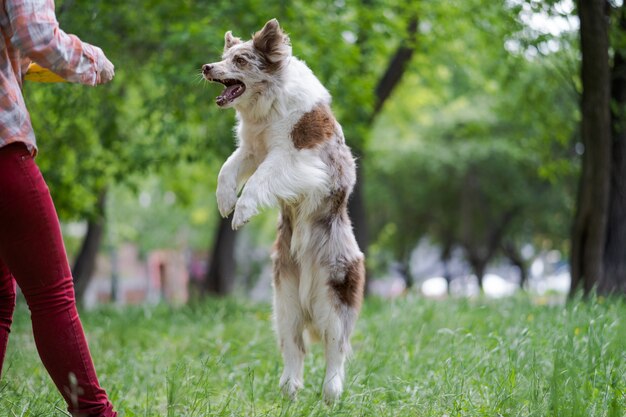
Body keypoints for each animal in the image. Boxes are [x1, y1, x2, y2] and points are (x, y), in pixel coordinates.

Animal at [202, 17, 364, 402]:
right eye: (223, 57)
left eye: (240, 60)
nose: (206, 67)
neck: (266, 104)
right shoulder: (251, 148)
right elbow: (227, 170)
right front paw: (225, 201)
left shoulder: (295, 158)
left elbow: (261, 179)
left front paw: (242, 212)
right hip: (284, 302)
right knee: (295, 347)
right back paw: (288, 390)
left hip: (334, 295)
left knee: (335, 347)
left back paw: (331, 392)